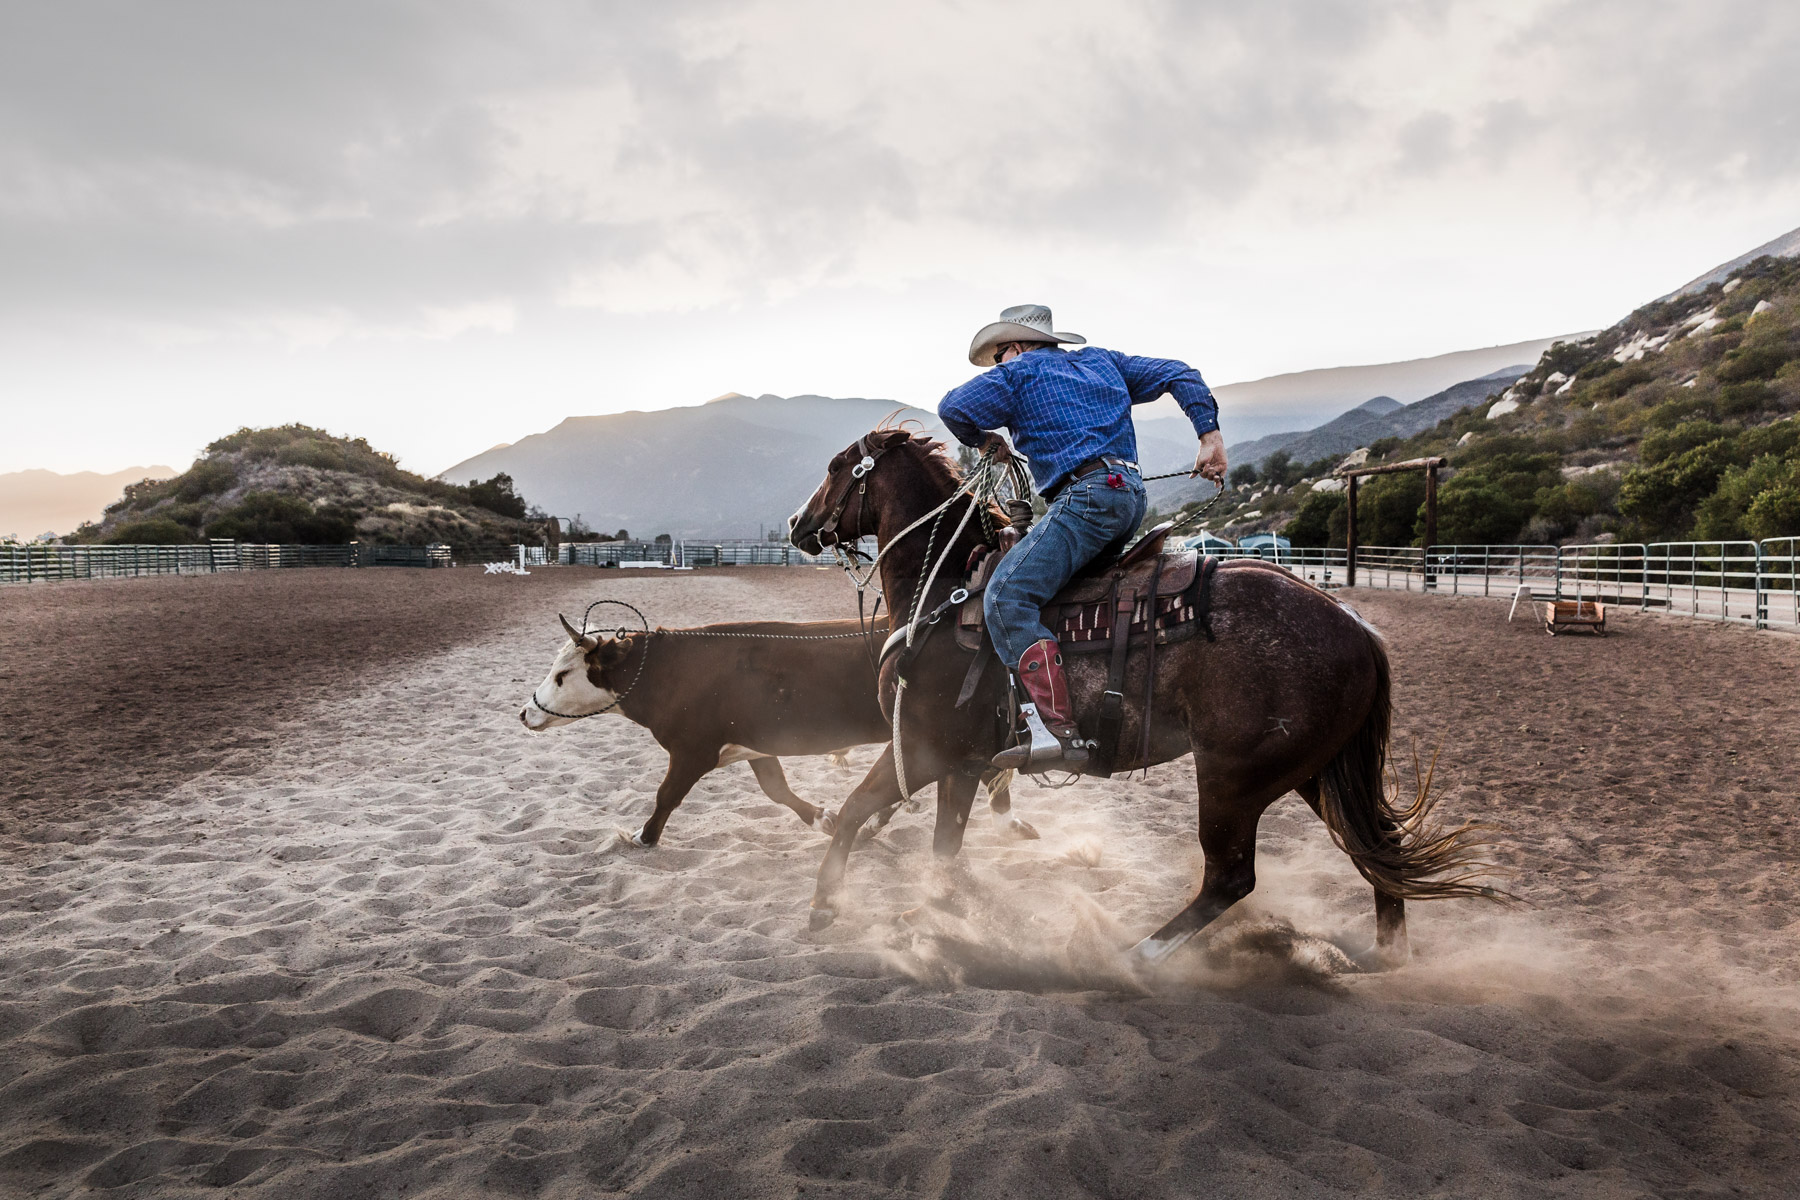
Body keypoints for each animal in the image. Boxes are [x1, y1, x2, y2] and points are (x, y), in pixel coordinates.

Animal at [795, 429, 1497, 964]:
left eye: (834, 468)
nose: (799, 525)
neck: (947, 594)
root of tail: (1354, 624)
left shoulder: (922, 746)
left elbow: (854, 810)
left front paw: (824, 906)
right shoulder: (963, 765)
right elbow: (944, 848)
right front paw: (938, 915)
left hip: (1234, 778)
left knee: (1230, 877)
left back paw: (1135, 958)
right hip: (1314, 771)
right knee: (1379, 848)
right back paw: (1387, 956)